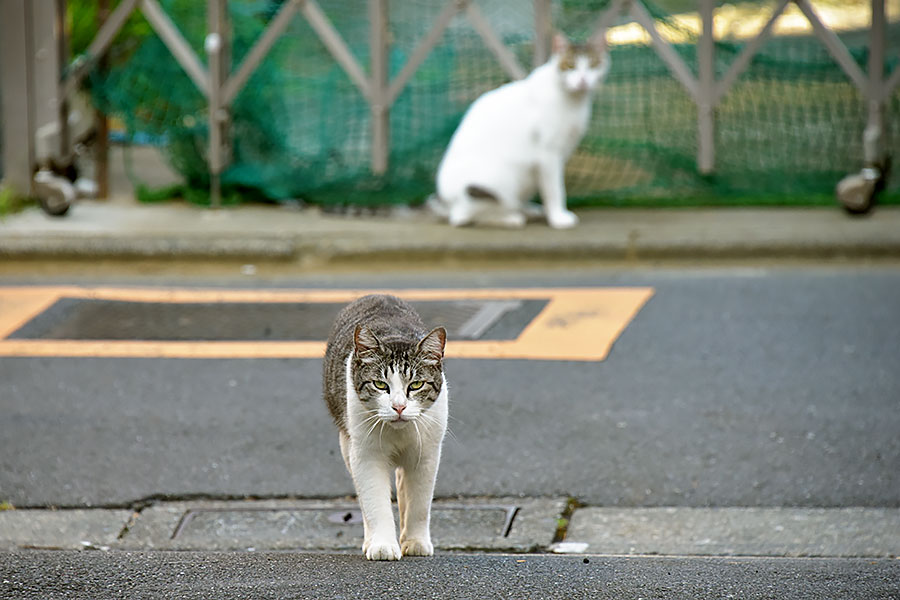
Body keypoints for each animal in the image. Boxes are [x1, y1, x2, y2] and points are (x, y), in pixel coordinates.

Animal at [324, 292, 450, 560]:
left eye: (416, 385)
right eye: (381, 385)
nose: (399, 406)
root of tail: (376, 294)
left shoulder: (427, 455)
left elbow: (419, 503)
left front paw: (415, 541)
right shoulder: (365, 455)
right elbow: (374, 502)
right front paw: (382, 544)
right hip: (346, 443)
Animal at [430, 33, 612, 230]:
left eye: (593, 65)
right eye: (570, 66)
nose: (583, 80)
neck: (574, 100)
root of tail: (447, 202)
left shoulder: (560, 153)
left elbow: (550, 186)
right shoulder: (548, 153)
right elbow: (555, 189)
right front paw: (558, 217)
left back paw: (527, 210)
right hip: (499, 178)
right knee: (462, 217)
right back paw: (510, 218)